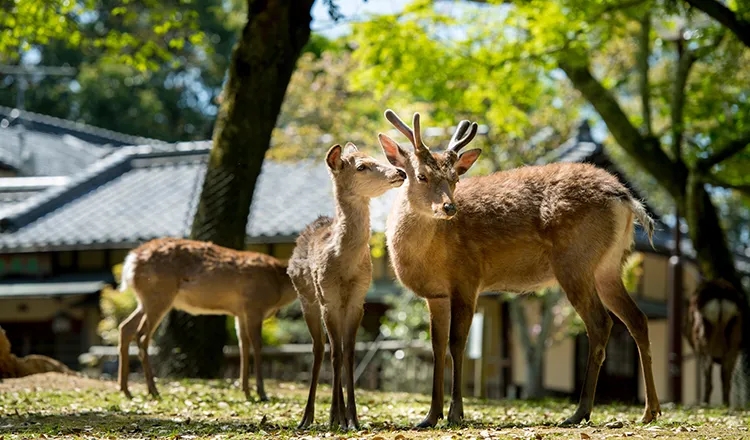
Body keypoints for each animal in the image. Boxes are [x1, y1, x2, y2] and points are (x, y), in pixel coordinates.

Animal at [117, 239, 296, 400]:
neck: (279, 286)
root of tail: (132, 259)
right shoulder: (254, 306)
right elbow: (257, 345)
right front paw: (261, 393)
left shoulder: (240, 312)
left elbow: (243, 345)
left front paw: (246, 391)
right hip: (159, 295)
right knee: (142, 336)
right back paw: (152, 390)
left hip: (145, 300)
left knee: (125, 327)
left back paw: (126, 390)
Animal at [288, 144, 406, 430]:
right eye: (361, 166)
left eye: (377, 157)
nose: (400, 172)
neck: (345, 269)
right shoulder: (328, 299)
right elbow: (335, 354)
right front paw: (336, 416)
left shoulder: (357, 300)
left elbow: (350, 353)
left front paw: (352, 418)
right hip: (307, 299)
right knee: (319, 349)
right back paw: (308, 417)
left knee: (337, 348)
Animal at [378, 109, 660, 426]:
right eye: (422, 175)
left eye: (455, 179)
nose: (449, 208)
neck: (428, 257)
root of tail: (626, 198)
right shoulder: (435, 294)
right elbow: (437, 346)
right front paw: (429, 416)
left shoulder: (467, 278)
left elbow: (457, 343)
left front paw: (455, 414)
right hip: (608, 267)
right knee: (637, 319)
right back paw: (650, 411)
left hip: (575, 261)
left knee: (600, 323)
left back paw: (580, 412)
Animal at [688, 278, 748, 406]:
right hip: (735, 337)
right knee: (726, 378)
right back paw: (726, 404)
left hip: (702, 339)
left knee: (709, 378)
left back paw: (705, 403)